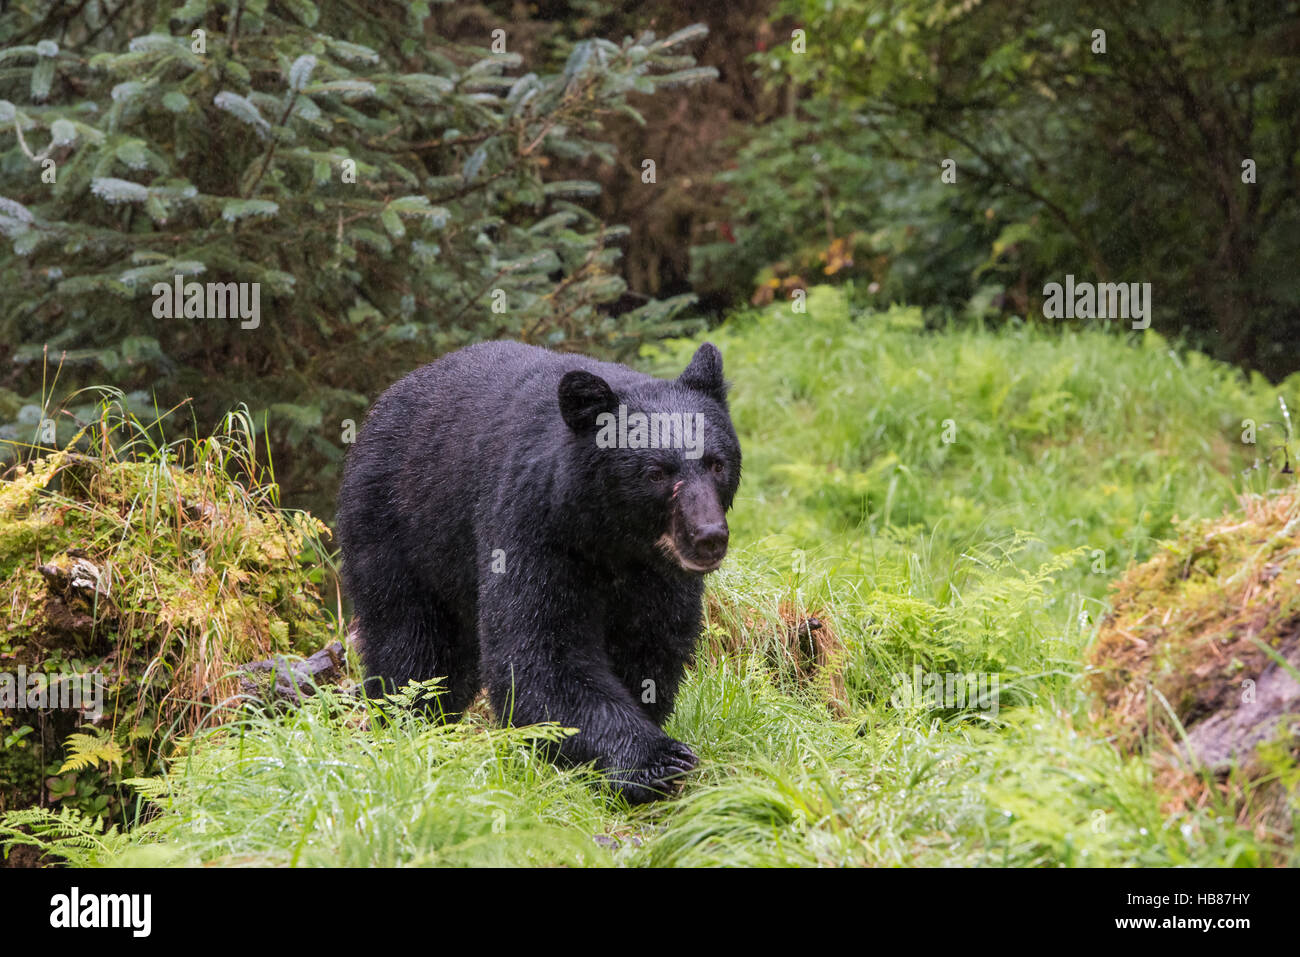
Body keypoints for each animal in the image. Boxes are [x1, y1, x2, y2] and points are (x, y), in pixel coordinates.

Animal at [336, 341, 741, 803]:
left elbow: (650, 644)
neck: (613, 541)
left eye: (716, 464)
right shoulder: (534, 526)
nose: (708, 536)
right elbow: (539, 653)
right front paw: (657, 759)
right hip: (397, 526)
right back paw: (413, 726)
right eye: (656, 472)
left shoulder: (659, 575)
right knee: (412, 645)